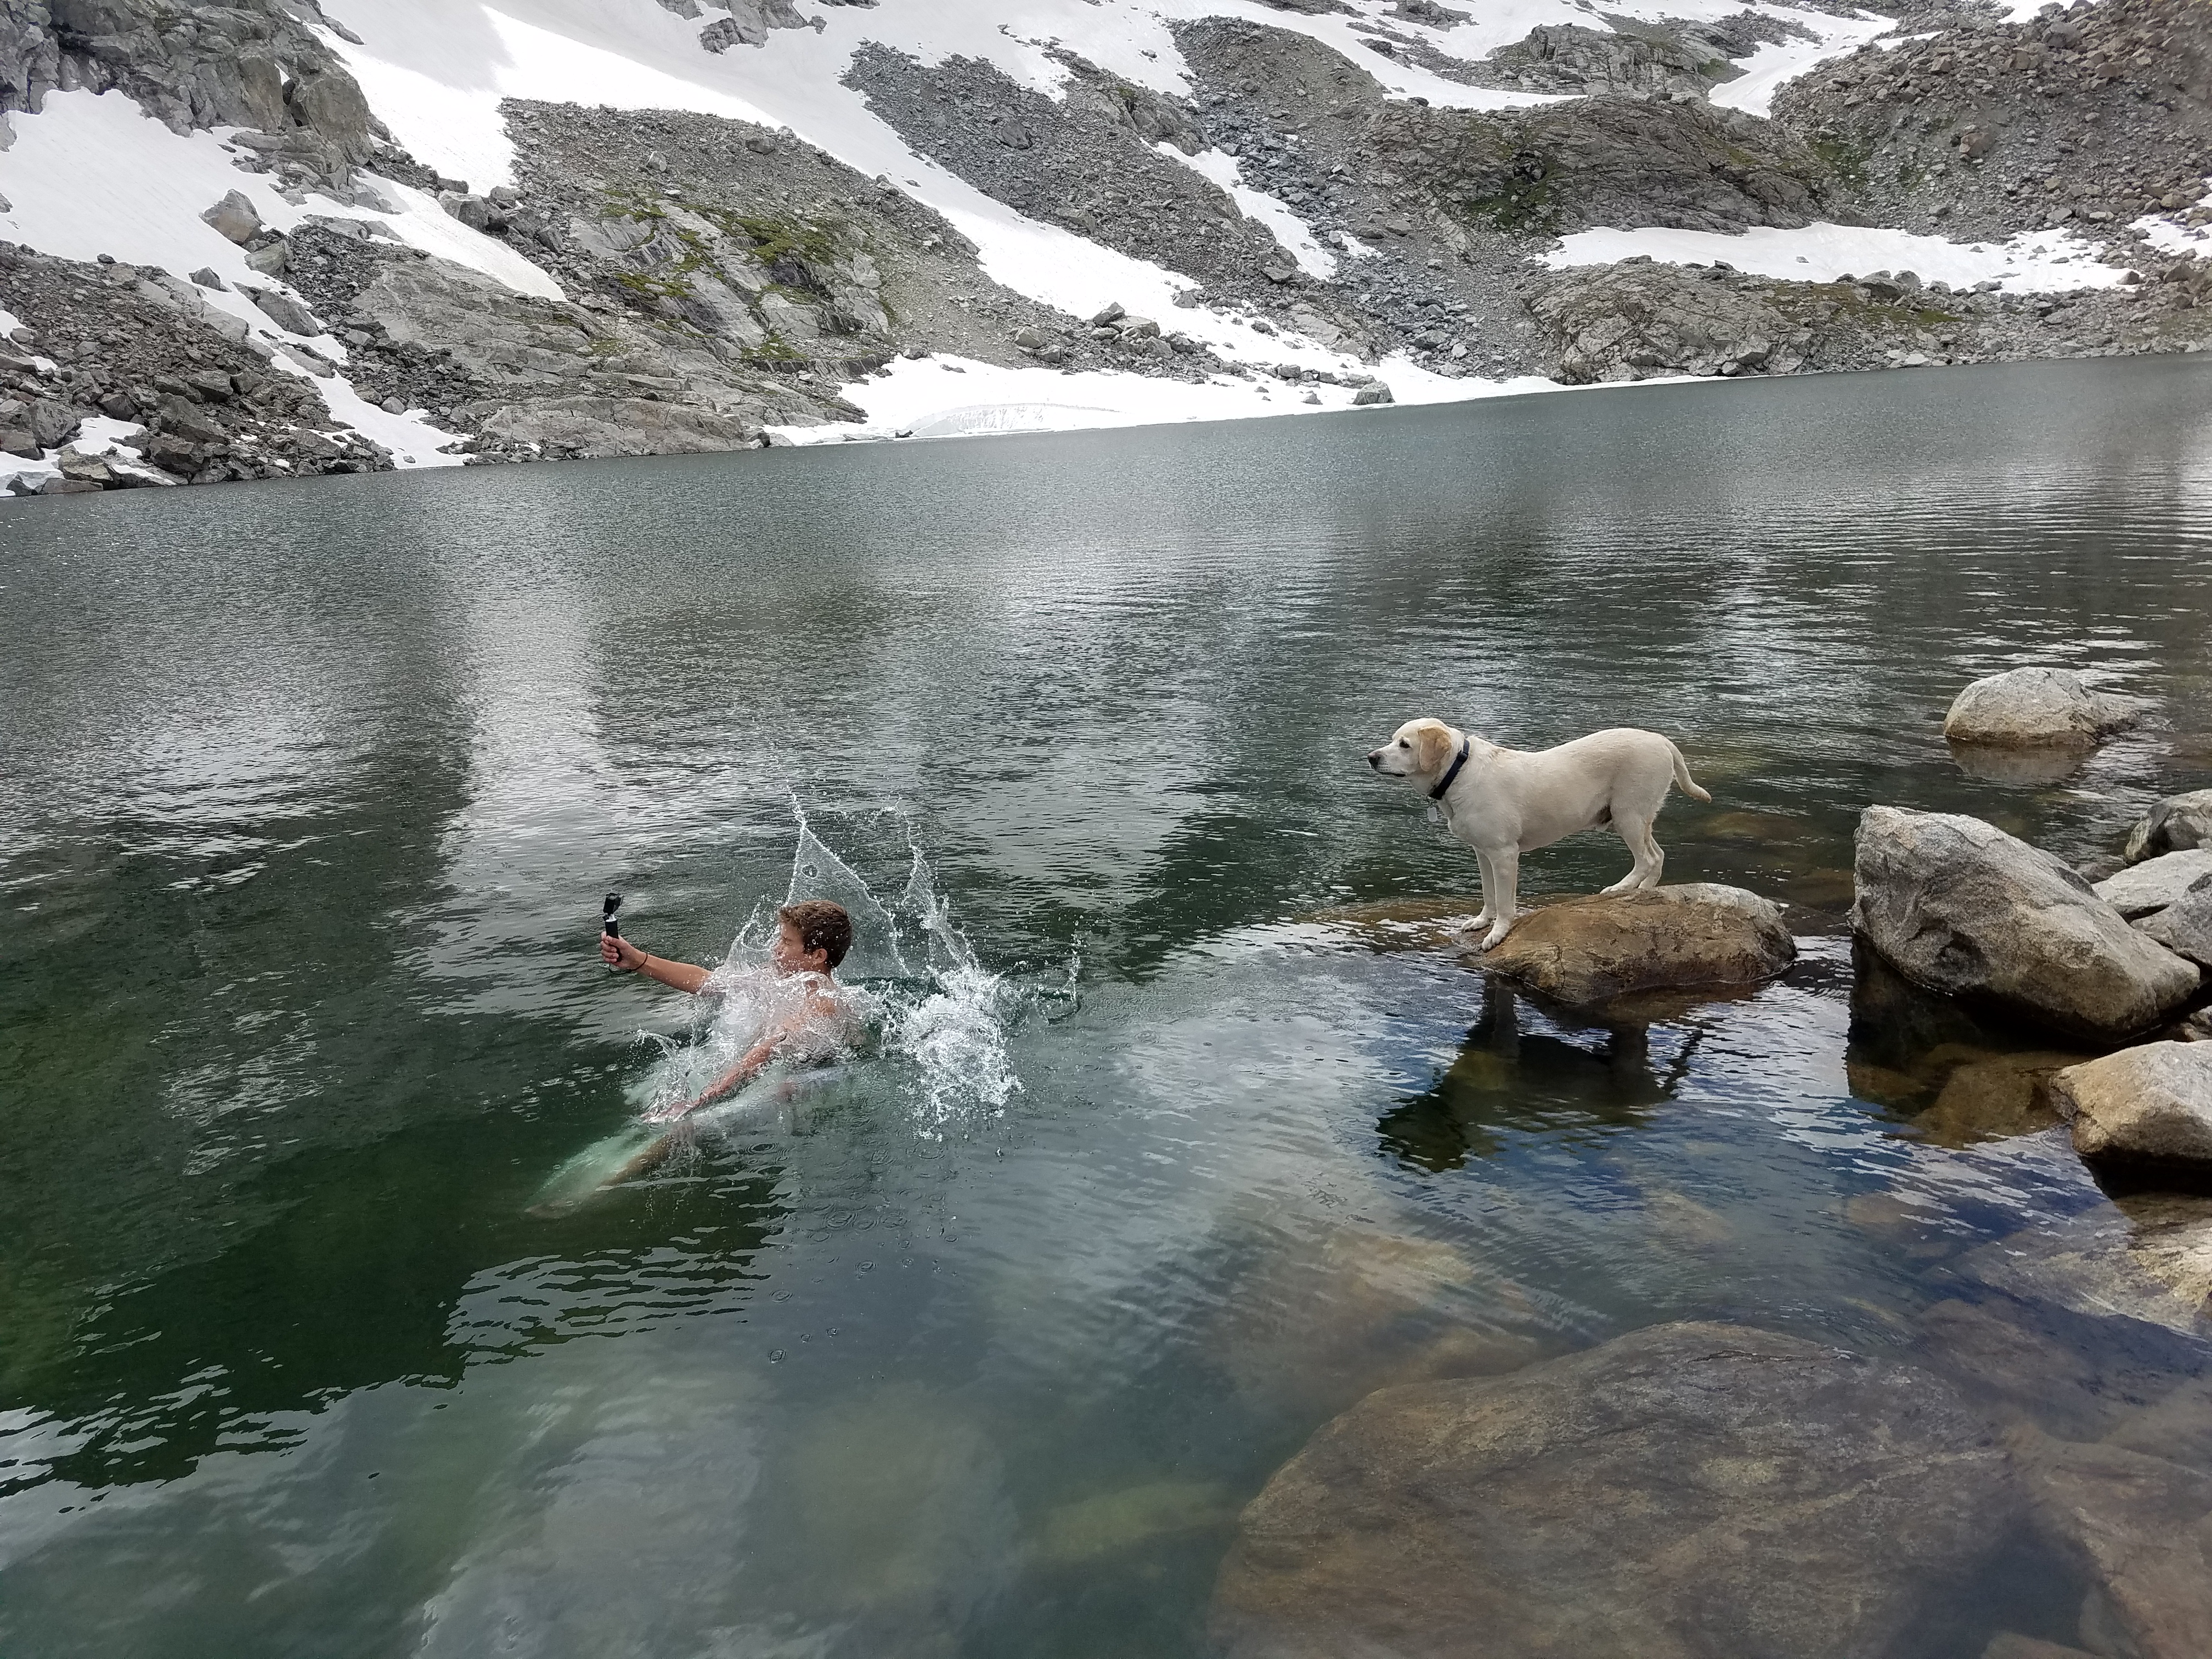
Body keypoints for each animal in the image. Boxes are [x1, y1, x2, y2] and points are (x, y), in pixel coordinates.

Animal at [1362, 721, 1707, 955]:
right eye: (1393, 740)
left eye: (1404, 745)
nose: (1371, 757)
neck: (1459, 773)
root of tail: (1661, 740)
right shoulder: (1482, 852)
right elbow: (1489, 894)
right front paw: (1482, 922)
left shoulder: (1504, 854)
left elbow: (1505, 903)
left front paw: (1497, 934)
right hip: (1635, 819)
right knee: (1658, 856)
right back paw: (1644, 892)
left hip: (1628, 816)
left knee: (1646, 859)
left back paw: (1623, 889)